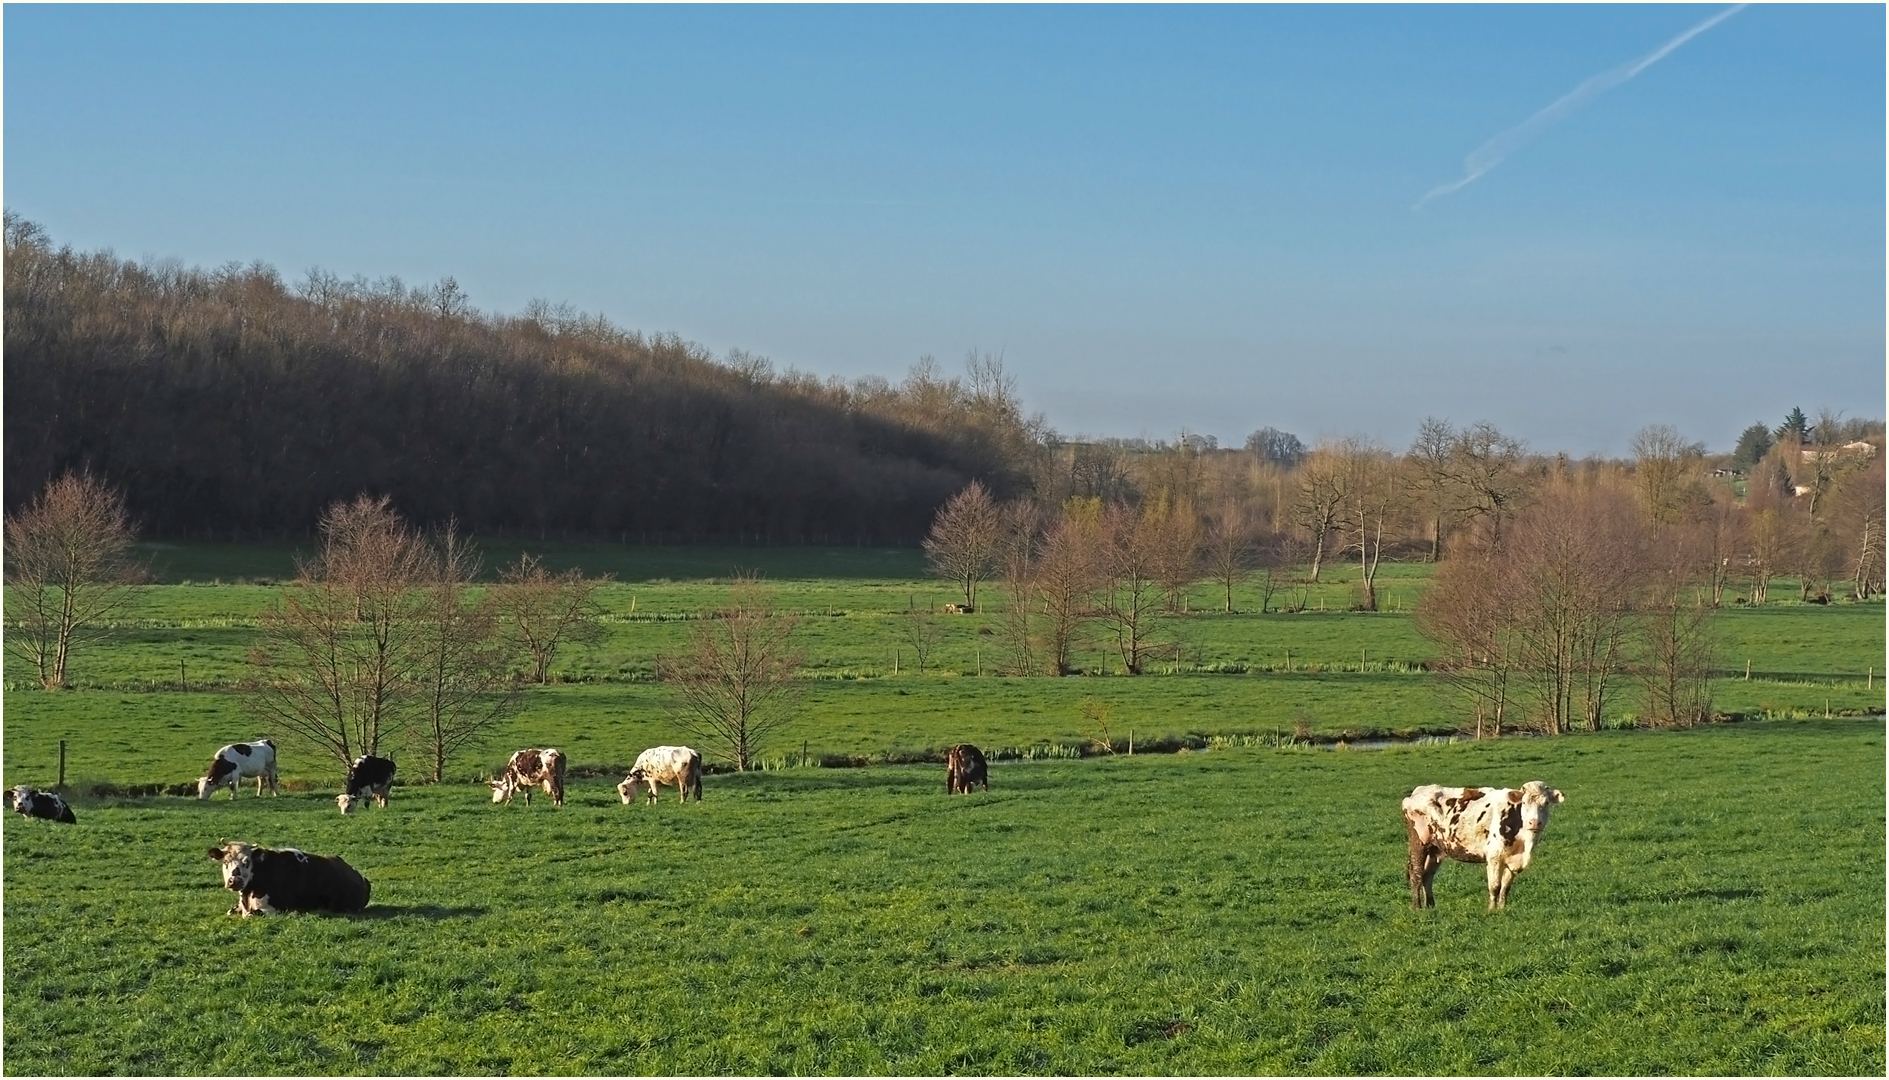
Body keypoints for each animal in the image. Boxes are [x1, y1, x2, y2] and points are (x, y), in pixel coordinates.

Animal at [1405, 781, 1564, 906]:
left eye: (1546, 803)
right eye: (1524, 803)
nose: (1534, 822)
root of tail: (1417, 792)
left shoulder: (1513, 860)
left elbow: (1505, 888)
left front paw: (1502, 909)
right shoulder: (1494, 856)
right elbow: (1495, 886)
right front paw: (1492, 910)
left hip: (1435, 848)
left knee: (1427, 875)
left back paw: (1431, 906)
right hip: (1419, 843)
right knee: (1416, 874)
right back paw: (1417, 907)